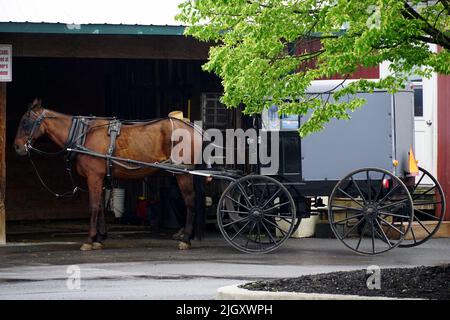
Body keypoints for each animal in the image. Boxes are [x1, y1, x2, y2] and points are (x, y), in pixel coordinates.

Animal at [14, 99, 203, 251]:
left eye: (25, 122)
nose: (17, 147)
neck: (83, 135)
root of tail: (192, 128)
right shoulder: (100, 177)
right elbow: (100, 206)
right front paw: (100, 238)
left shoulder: (94, 176)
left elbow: (93, 206)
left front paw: (89, 240)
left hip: (183, 173)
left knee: (190, 201)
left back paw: (186, 238)